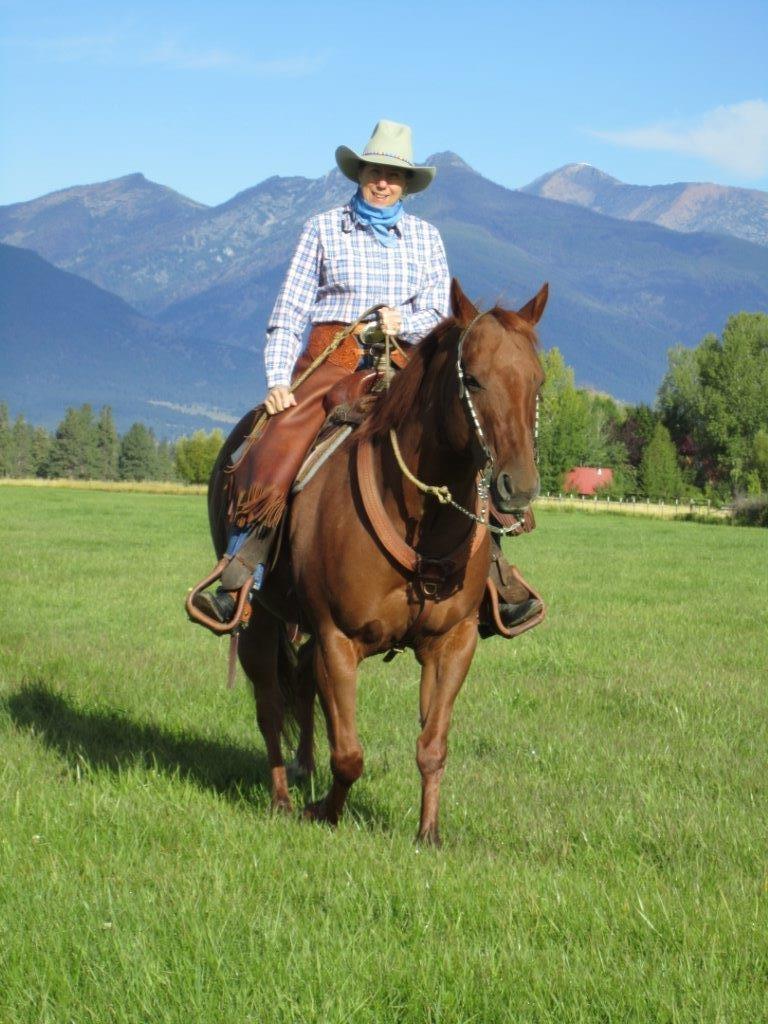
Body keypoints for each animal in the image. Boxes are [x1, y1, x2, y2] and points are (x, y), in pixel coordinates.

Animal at [207, 278, 548, 839]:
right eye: (473, 379)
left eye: (537, 382)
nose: (516, 487)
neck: (417, 516)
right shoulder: (337, 638)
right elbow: (349, 754)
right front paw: (323, 812)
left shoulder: (452, 643)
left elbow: (432, 747)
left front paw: (428, 834)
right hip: (261, 616)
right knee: (270, 704)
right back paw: (282, 797)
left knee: (301, 683)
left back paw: (304, 769)